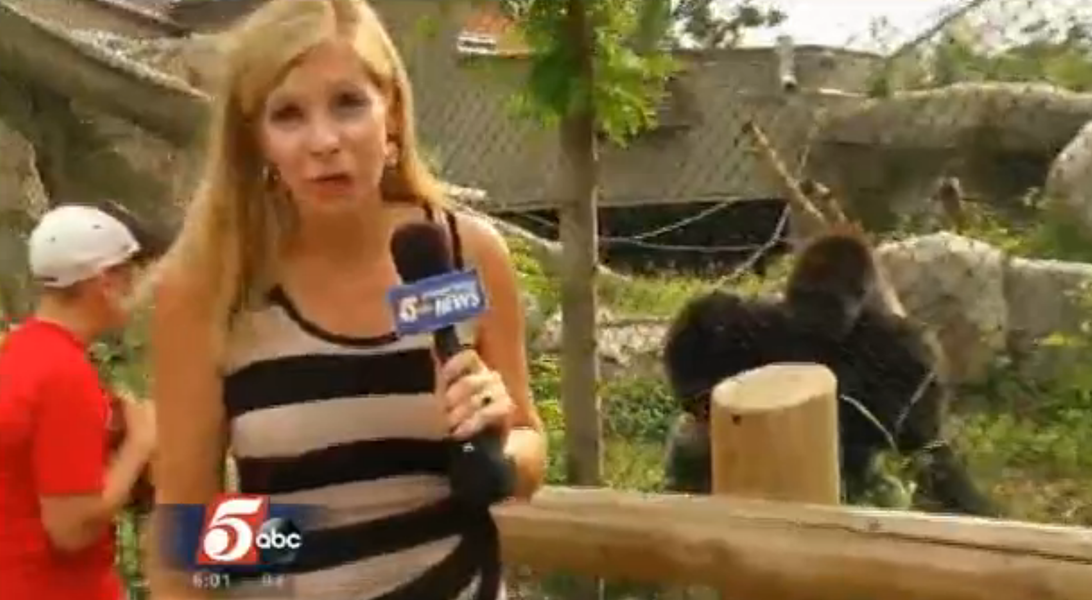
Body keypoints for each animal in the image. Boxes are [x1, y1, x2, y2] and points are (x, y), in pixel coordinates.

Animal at [659, 226, 995, 513]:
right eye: (803, 294)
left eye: (827, 299)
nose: (809, 316)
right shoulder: (770, 317)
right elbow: (706, 351)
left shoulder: (910, 342)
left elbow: (909, 428)